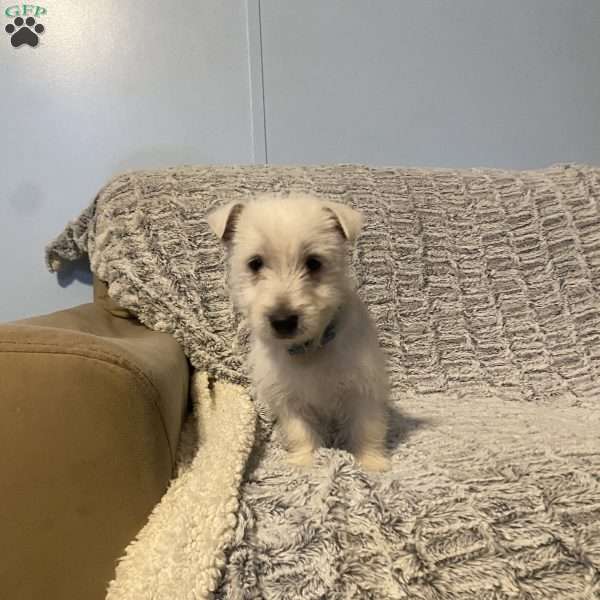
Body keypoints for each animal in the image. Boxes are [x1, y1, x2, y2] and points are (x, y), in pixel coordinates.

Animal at [209, 195, 392, 472]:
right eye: (255, 263)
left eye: (314, 262)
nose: (283, 321)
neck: (310, 348)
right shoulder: (289, 398)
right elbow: (300, 431)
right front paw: (306, 462)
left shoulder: (362, 388)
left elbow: (366, 427)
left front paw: (370, 463)